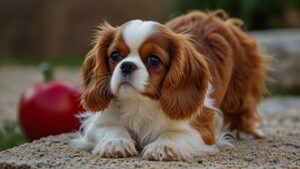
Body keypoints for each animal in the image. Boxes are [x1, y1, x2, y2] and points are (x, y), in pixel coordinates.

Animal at [70, 9, 268, 160]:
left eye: (153, 60)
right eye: (115, 55)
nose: (126, 65)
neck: (140, 103)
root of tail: (211, 15)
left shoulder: (203, 130)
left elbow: (175, 133)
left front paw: (163, 146)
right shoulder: (95, 124)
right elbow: (112, 128)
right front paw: (115, 142)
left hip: (239, 94)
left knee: (242, 112)